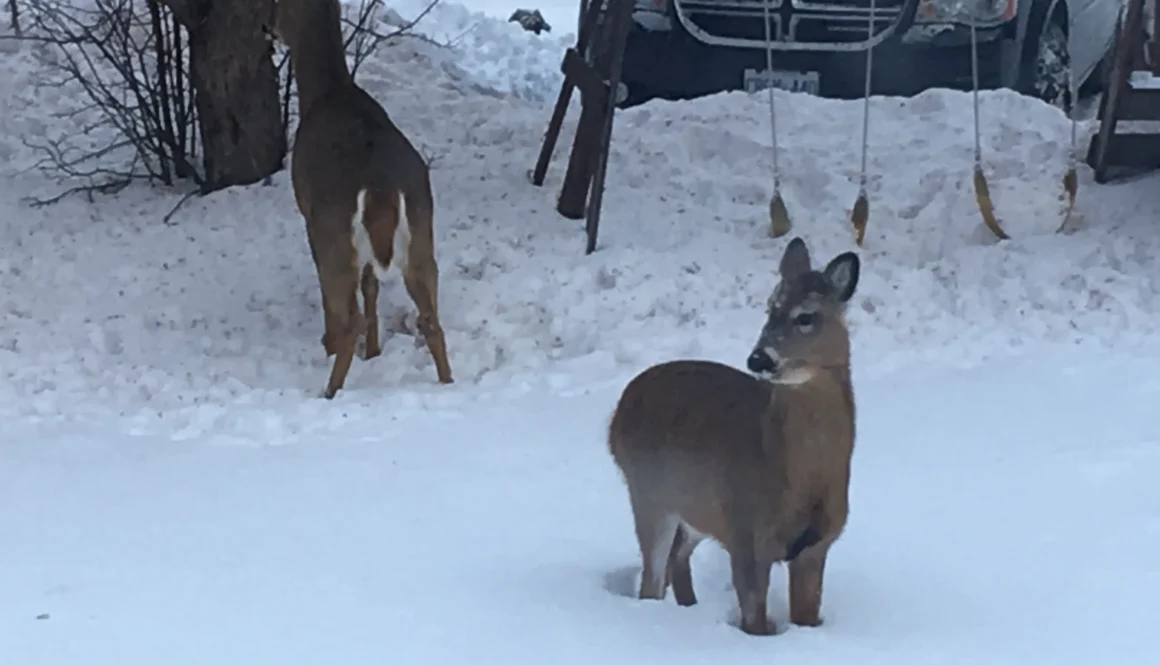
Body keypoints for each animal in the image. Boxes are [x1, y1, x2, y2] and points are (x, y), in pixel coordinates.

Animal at [266, 0, 453, 399]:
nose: (265, 27)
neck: (325, 93)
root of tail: (382, 185)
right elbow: (372, 285)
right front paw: (376, 351)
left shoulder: (307, 213)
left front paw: (330, 345)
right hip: (421, 233)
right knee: (431, 318)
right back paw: (448, 382)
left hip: (333, 234)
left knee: (348, 315)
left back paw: (329, 390)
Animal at [606, 237, 860, 636]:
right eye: (770, 306)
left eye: (806, 316)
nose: (759, 359)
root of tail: (617, 412)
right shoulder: (746, 533)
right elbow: (755, 621)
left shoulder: (817, 544)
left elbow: (807, 616)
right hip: (648, 492)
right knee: (651, 581)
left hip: (694, 508)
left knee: (677, 559)